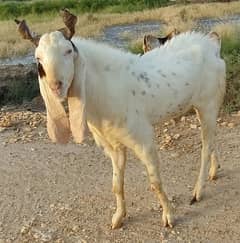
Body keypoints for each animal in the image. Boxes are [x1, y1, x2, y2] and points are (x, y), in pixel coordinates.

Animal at [16, 9, 225, 230]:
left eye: (68, 51)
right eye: (38, 58)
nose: (56, 86)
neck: (104, 88)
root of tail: (212, 44)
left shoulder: (143, 139)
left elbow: (155, 182)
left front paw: (169, 216)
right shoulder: (112, 144)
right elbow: (116, 185)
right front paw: (118, 218)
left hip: (208, 103)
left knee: (205, 146)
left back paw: (198, 191)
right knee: (211, 141)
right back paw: (213, 171)